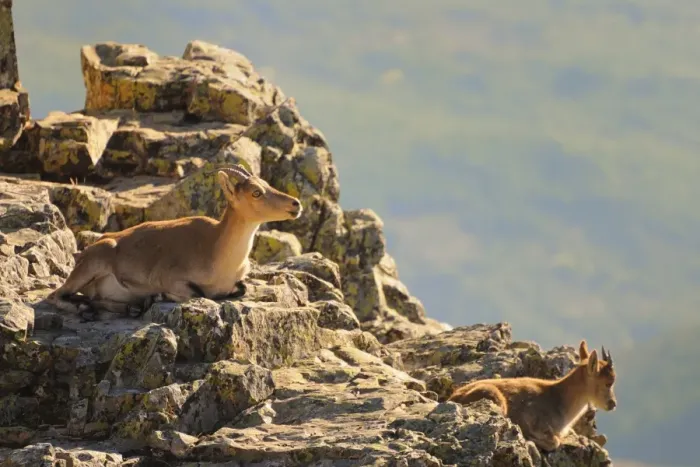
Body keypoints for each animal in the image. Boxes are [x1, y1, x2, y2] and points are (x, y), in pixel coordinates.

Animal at [47, 164, 302, 319]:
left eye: (267, 184)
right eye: (256, 192)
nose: (295, 204)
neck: (218, 252)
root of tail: (84, 252)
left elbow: (241, 288)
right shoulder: (170, 277)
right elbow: (199, 294)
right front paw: (159, 296)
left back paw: (131, 307)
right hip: (91, 266)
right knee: (56, 296)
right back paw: (87, 307)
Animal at [448, 340, 616, 452]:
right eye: (609, 383)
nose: (613, 404)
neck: (559, 399)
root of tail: (453, 398)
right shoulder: (532, 419)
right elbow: (554, 442)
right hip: (494, 396)